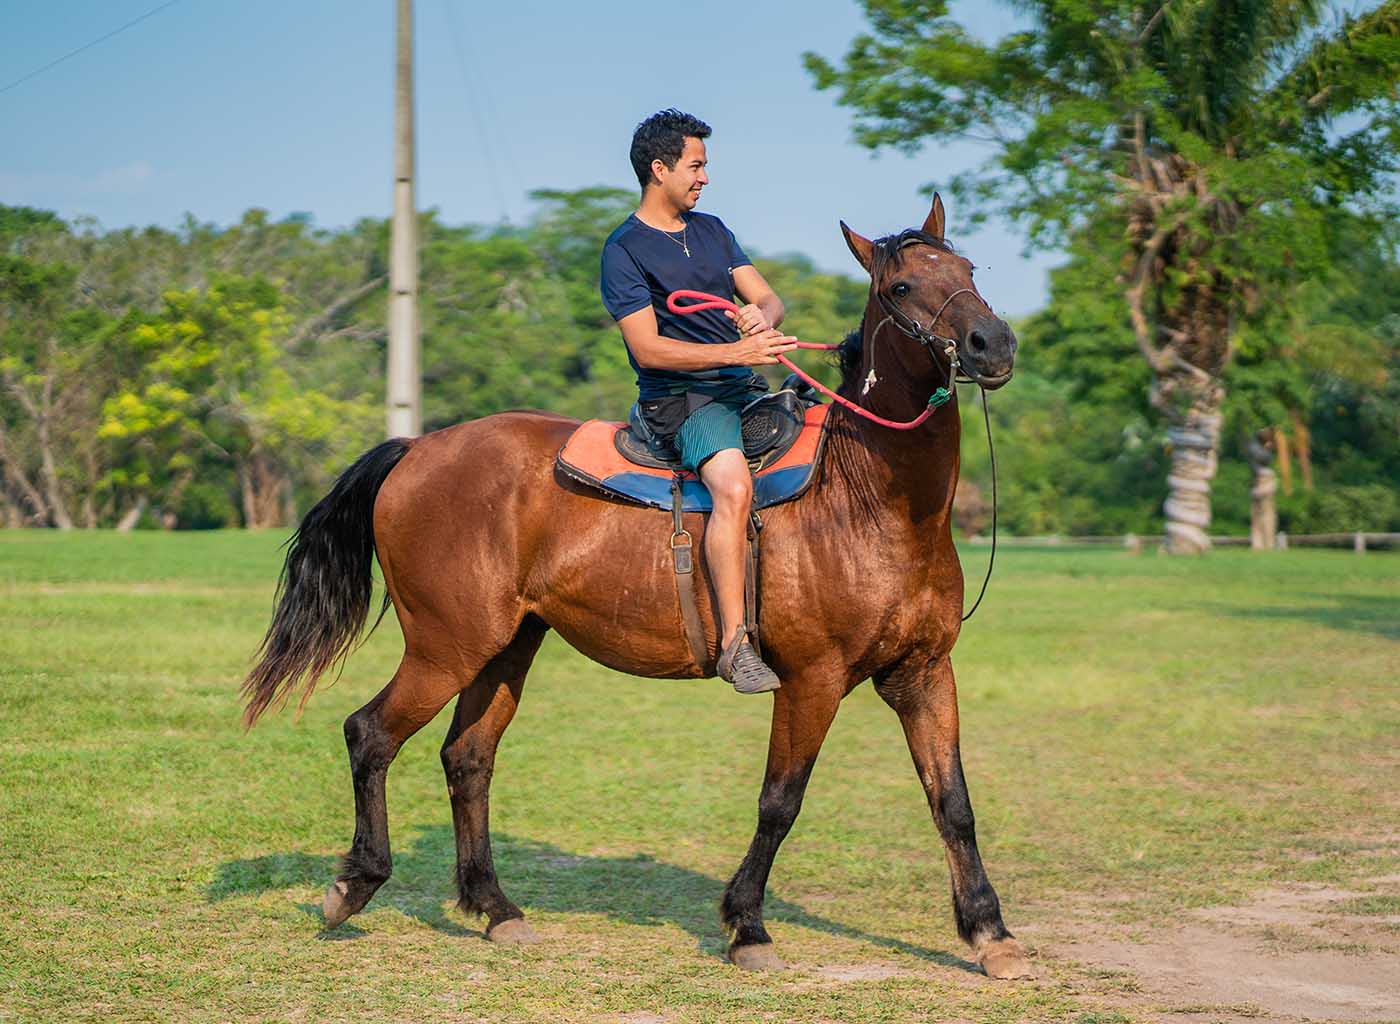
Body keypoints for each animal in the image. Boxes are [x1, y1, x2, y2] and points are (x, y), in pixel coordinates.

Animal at [241, 194, 1028, 979]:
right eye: (901, 287)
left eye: (968, 269)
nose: (992, 344)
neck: (866, 499)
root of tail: (416, 449)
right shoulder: (813, 679)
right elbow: (780, 802)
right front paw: (747, 926)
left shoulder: (923, 673)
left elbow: (953, 803)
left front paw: (990, 932)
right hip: (445, 648)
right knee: (370, 734)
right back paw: (353, 885)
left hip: (505, 648)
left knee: (466, 760)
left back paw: (496, 910)